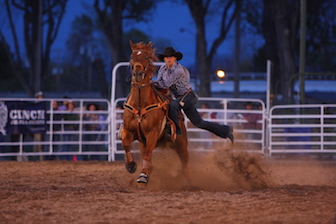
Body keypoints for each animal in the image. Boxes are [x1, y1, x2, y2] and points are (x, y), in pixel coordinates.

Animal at [120, 41, 189, 185]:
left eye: (146, 57)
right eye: (131, 56)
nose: (138, 73)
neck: (140, 103)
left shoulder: (152, 133)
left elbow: (147, 154)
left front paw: (143, 175)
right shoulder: (129, 131)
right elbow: (126, 144)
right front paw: (131, 165)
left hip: (181, 143)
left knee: (185, 162)